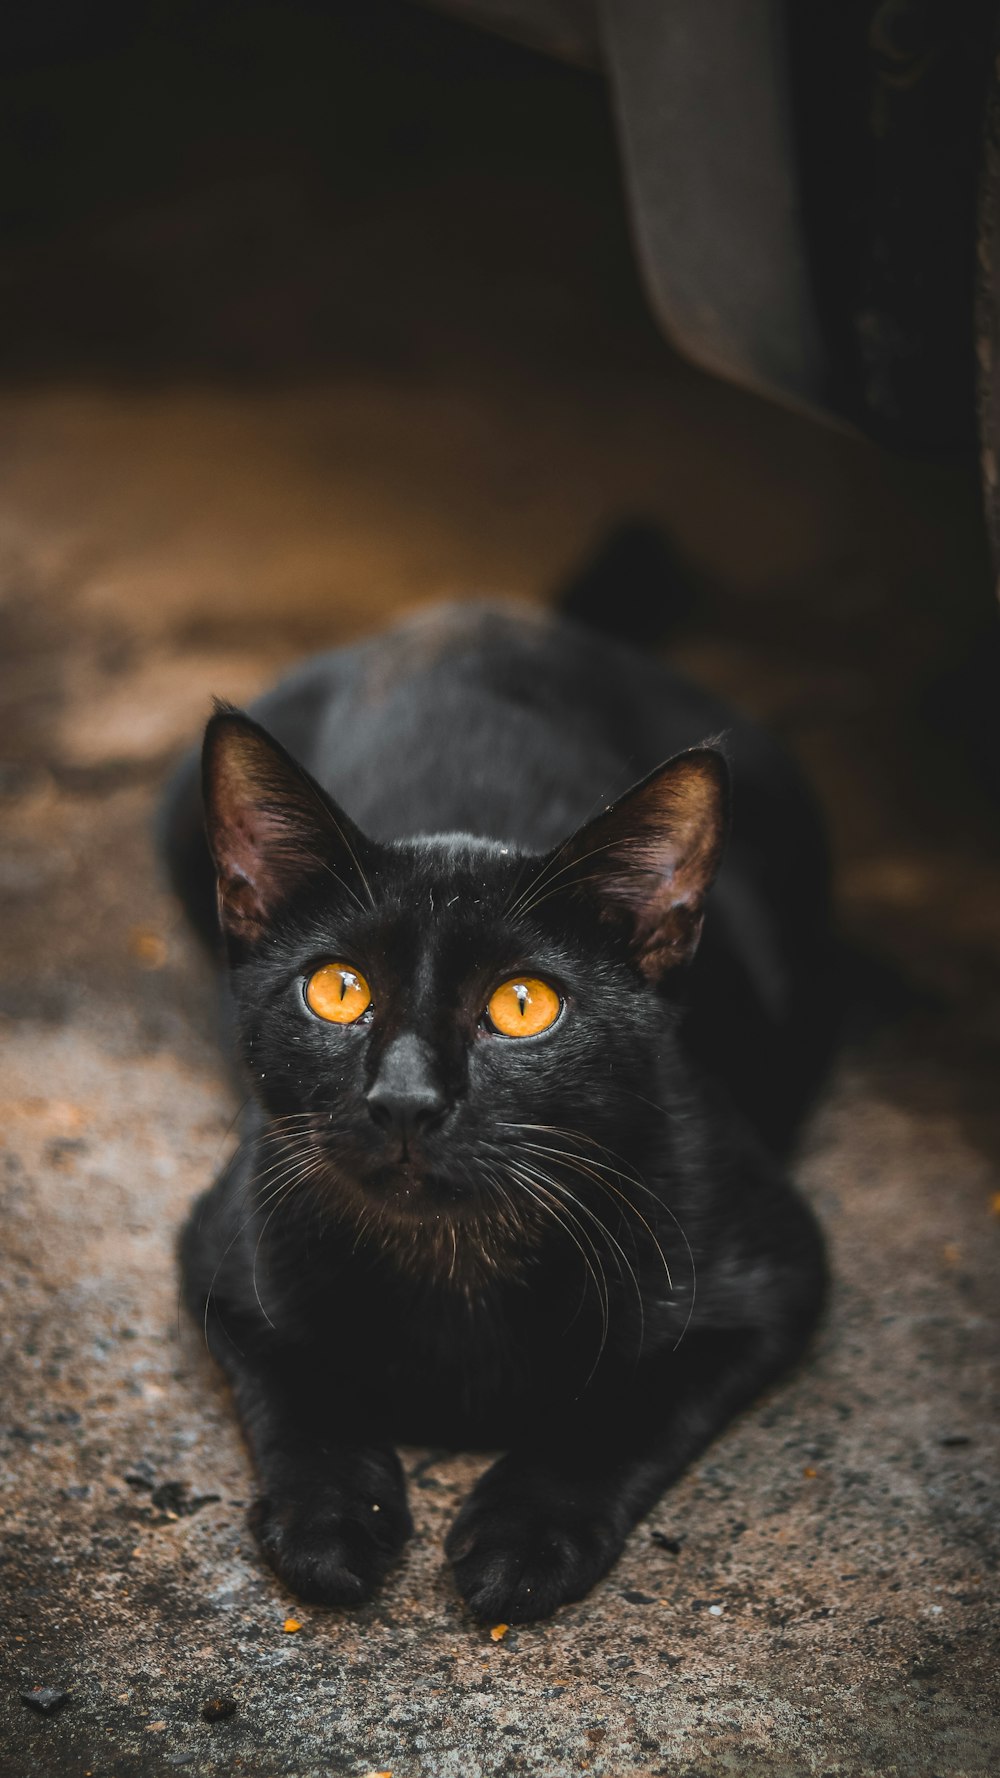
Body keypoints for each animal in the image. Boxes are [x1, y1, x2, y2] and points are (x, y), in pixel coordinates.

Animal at [163, 600, 829, 1628]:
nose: (405, 1098)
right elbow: (297, 1383)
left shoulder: (774, 1274)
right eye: (339, 991)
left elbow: (623, 1405)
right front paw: (330, 1521)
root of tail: (483, 612)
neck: (455, 1263)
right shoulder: (223, 1251)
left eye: (523, 1006)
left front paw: (524, 1536)